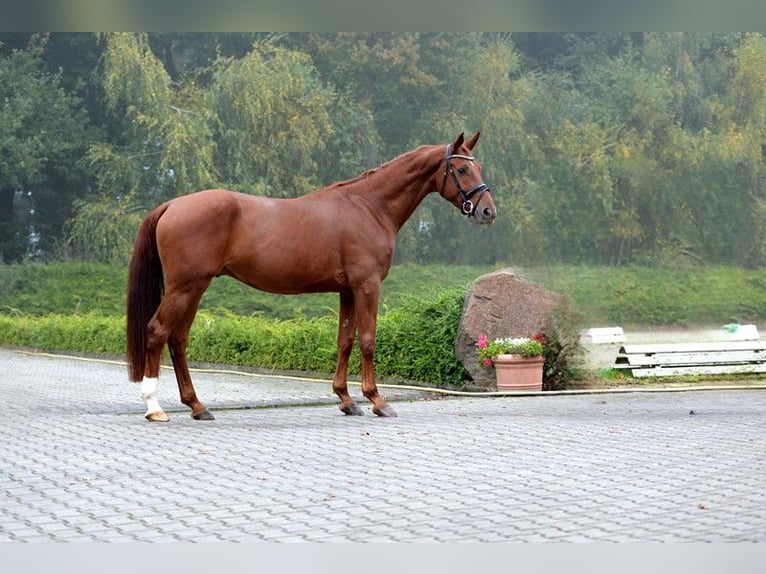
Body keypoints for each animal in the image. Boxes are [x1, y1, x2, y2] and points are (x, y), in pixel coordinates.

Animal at [126, 134, 498, 424]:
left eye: (478, 166)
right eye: (462, 169)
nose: (488, 211)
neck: (368, 206)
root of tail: (171, 205)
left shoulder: (347, 290)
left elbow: (345, 340)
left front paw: (346, 400)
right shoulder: (367, 286)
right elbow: (367, 340)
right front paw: (377, 401)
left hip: (195, 288)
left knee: (178, 340)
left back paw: (197, 406)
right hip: (185, 288)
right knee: (157, 332)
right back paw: (155, 408)